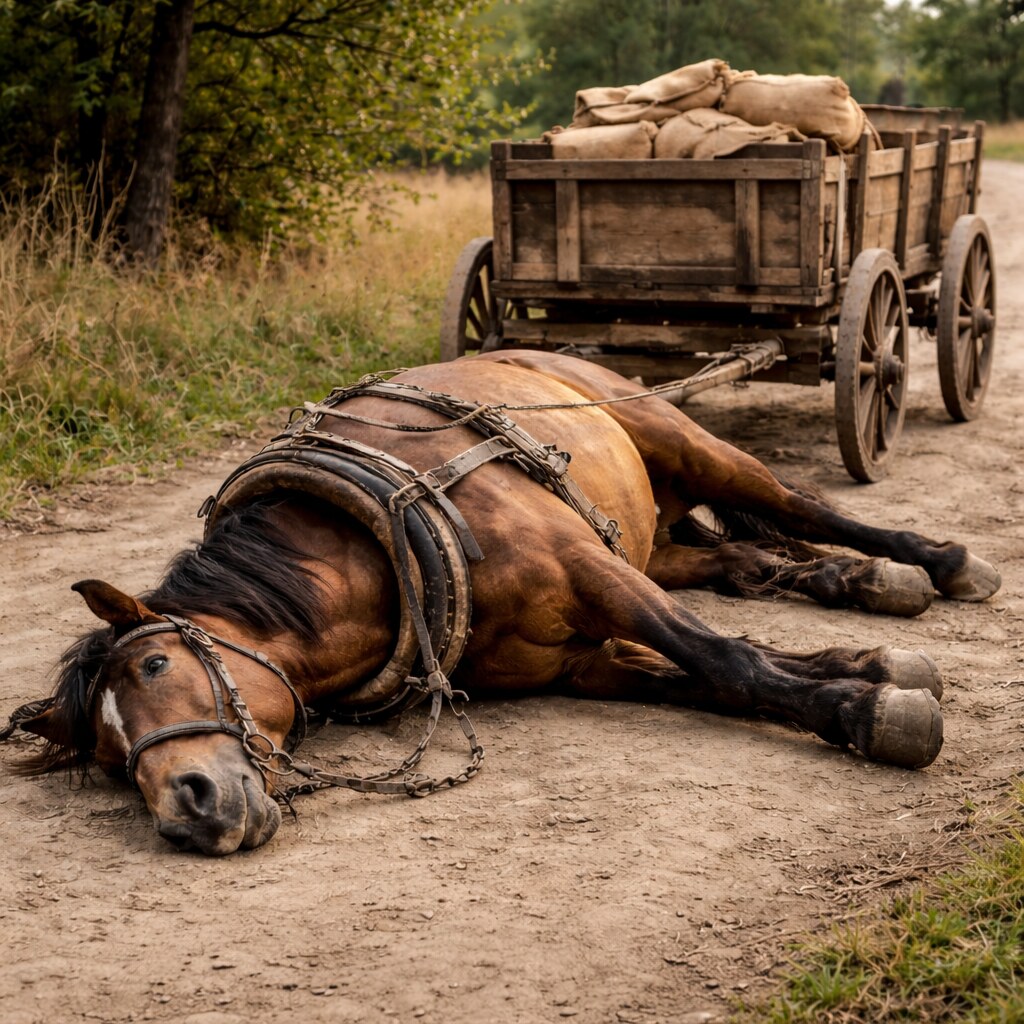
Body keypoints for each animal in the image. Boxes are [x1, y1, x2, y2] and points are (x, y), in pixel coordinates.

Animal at [1, 350, 1000, 855]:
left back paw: (935, 562)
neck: (382, 550)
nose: (190, 810)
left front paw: (868, 709)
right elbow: (718, 672)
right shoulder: (584, 661)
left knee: (800, 506)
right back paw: (857, 586)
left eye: (155, 662)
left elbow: (727, 658)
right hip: (659, 539)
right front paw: (863, 674)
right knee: (745, 558)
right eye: (106, 757)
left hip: (679, 440)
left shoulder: (593, 573)